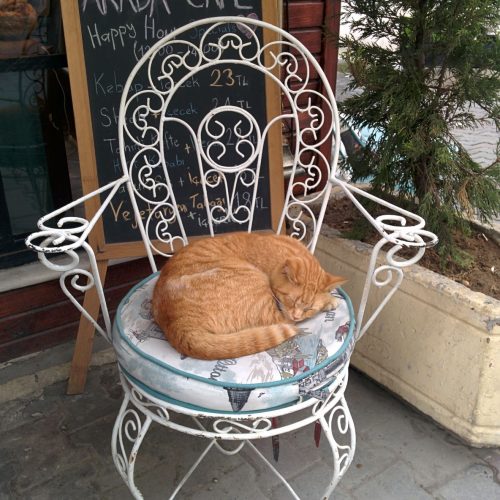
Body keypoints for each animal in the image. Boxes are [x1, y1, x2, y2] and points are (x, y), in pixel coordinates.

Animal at [152, 232, 346, 360]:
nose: (297, 315)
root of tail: (178, 324)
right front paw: (329, 300)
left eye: (309, 308)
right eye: (290, 300)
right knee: (283, 322)